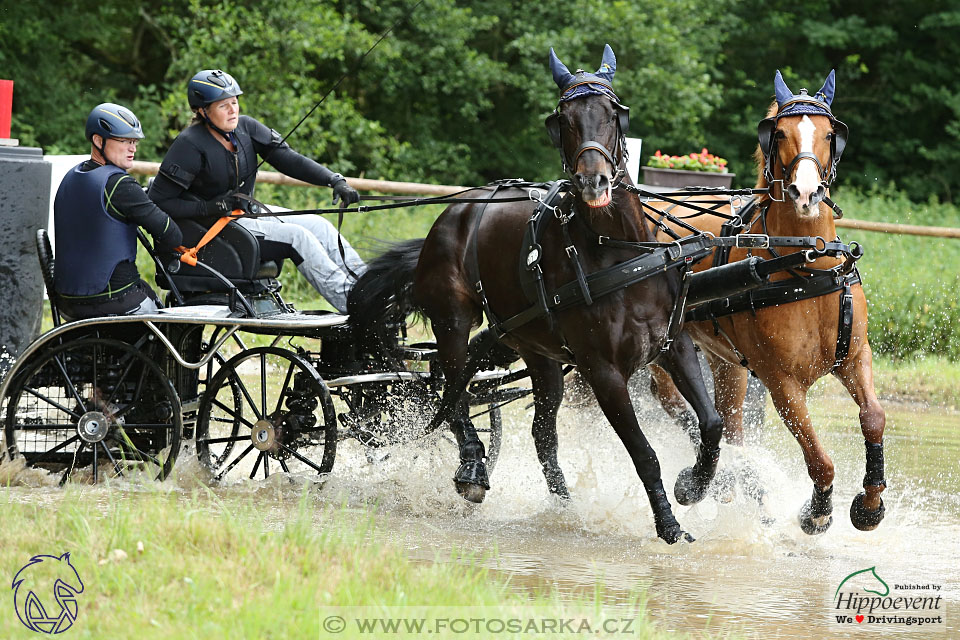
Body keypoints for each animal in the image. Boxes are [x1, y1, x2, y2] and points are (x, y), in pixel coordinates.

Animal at [348, 46, 724, 544]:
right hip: (454, 320)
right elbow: (644, 452)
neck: (619, 254)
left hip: (540, 354)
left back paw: (565, 507)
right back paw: (472, 466)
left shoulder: (673, 346)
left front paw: (691, 486)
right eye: (563, 119)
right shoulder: (603, 373)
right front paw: (668, 523)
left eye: (613, 114)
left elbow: (712, 425)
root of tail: (453, 214)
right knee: (453, 388)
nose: (593, 182)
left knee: (540, 433)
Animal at [648, 70, 888, 536]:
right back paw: (706, 478)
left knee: (730, 419)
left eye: (830, 134)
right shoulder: (783, 385)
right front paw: (817, 511)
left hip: (726, 360)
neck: (806, 265)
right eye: (778, 133)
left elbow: (874, 417)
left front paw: (870, 505)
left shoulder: (854, 358)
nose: (806, 192)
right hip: (664, 347)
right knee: (671, 399)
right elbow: (821, 460)